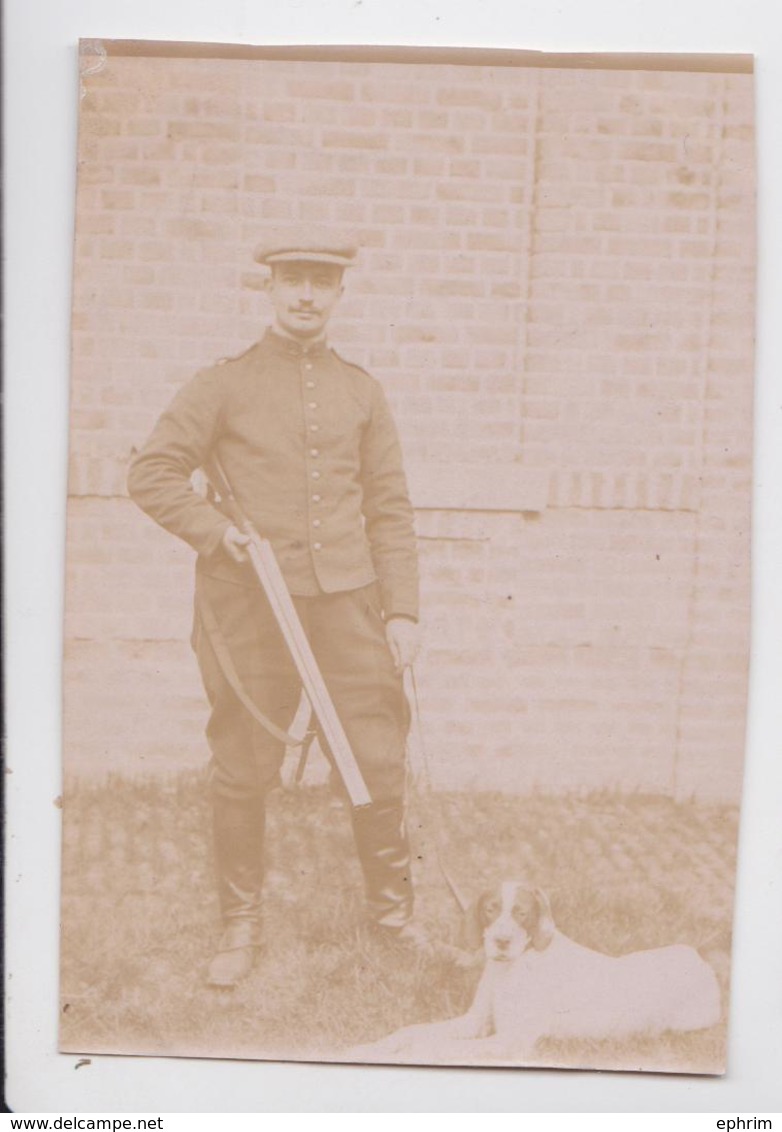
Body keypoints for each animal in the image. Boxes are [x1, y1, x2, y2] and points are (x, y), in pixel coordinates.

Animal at [348, 878, 719, 1064]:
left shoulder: (510, 1041)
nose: (501, 941)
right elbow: (409, 1032)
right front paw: (368, 1049)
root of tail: (698, 960)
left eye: (522, 913)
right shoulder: (474, 1023)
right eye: (490, 909)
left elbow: (434, 1048)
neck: (512, 968)